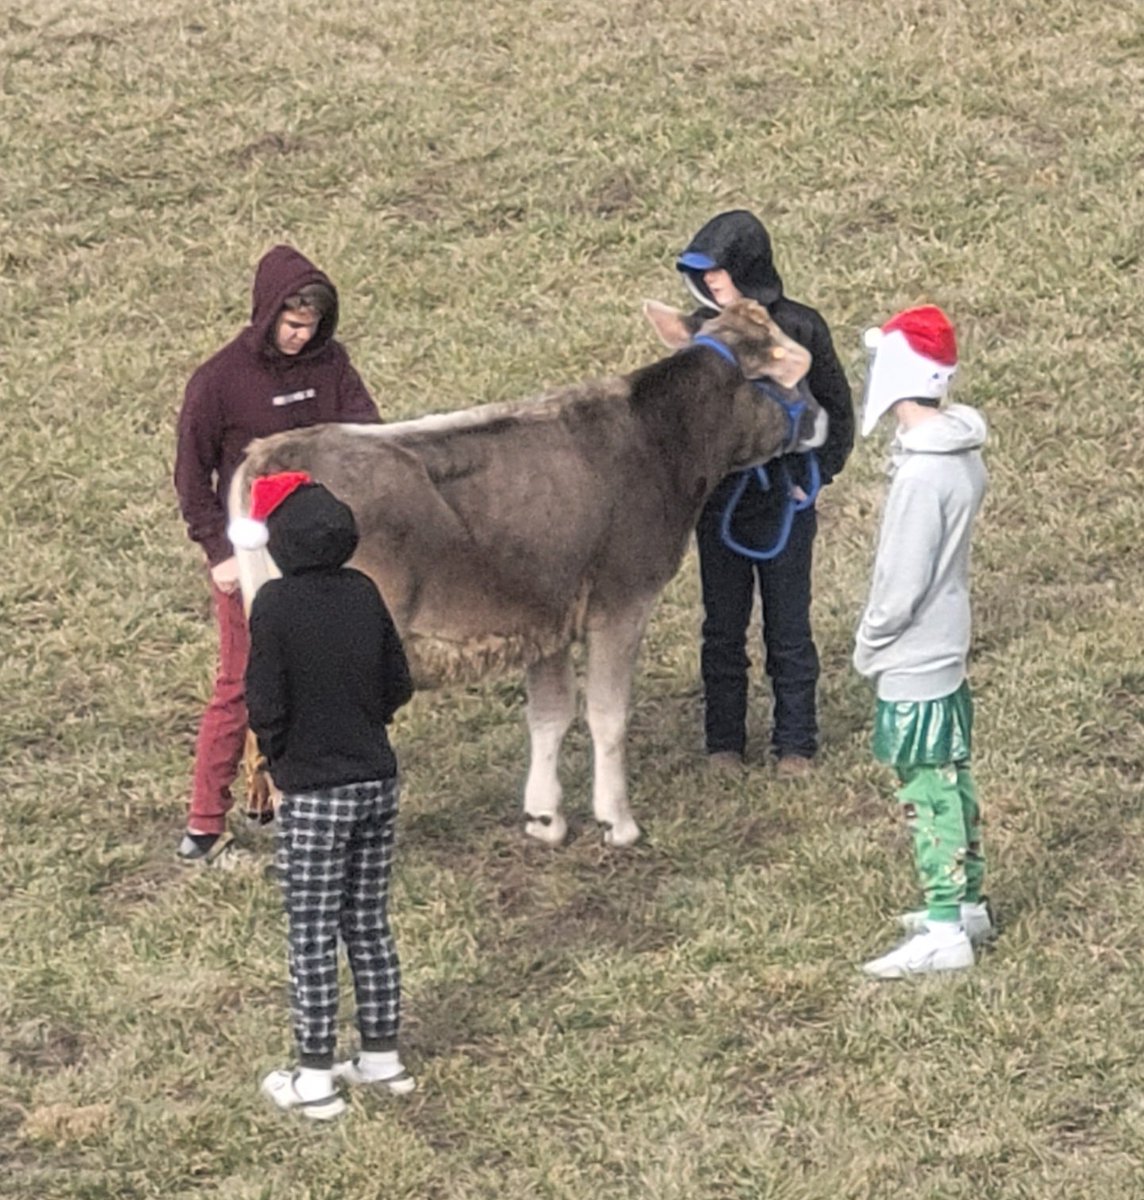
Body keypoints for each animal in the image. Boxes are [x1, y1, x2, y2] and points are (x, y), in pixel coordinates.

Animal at [230, 299, 826, 848]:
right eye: (789, 370)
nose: (821, 419)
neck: (654, 440)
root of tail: (273, 454)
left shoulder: (544, 616)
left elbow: (550, 714)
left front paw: (545, 818)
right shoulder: (622, 601)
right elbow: (607, 714)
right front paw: (618, 822)